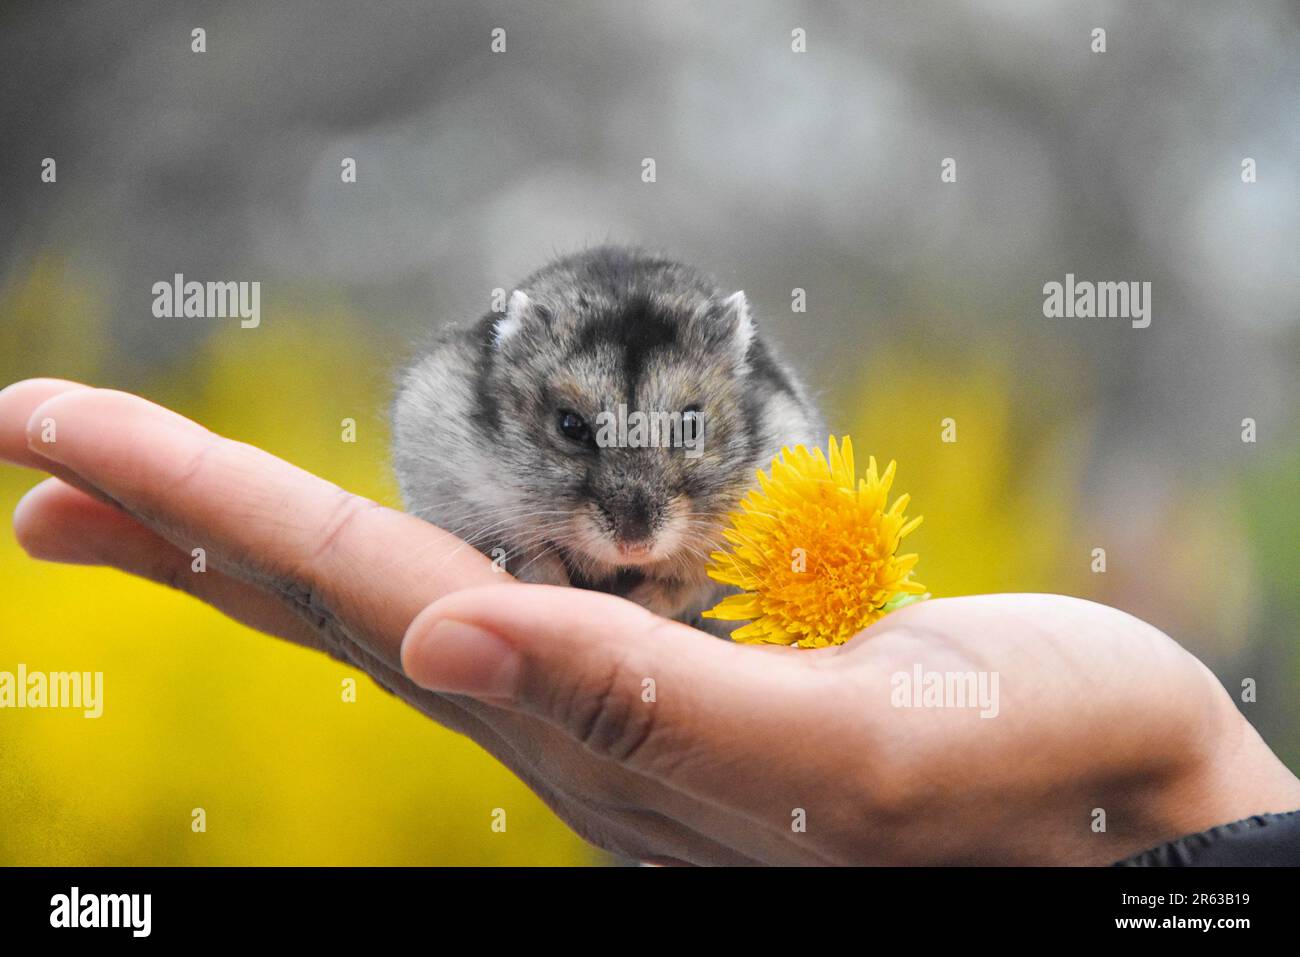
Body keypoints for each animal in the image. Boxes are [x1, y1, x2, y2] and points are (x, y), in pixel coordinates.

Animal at [390, 247, 826, 634]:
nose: (634, 547)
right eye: (570, 425)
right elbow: (529, 553)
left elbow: (683, 585)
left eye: (690, 424)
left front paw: (640, 602)